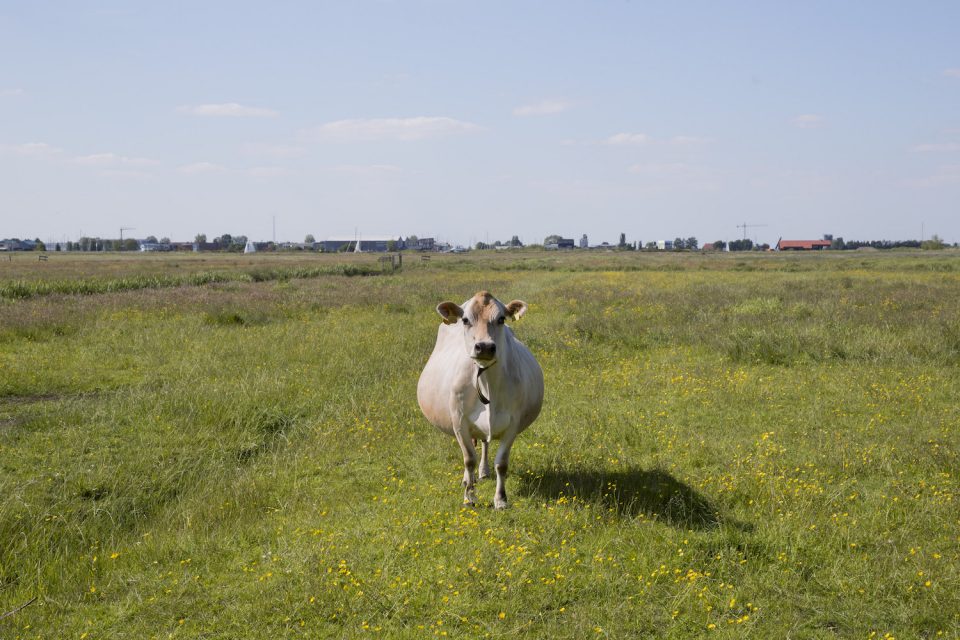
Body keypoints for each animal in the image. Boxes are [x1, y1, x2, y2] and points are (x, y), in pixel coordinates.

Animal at [416, 292, 544, 510]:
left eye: (501, 319)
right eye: (466, 320)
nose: (484, 347)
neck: (486, 383)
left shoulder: (513, 423)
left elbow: (501, 463)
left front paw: (500, 499)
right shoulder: (459, 421)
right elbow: (468, 459)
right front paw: (469, 497)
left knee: (484, 443)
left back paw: (483, 472)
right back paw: (468, 479)